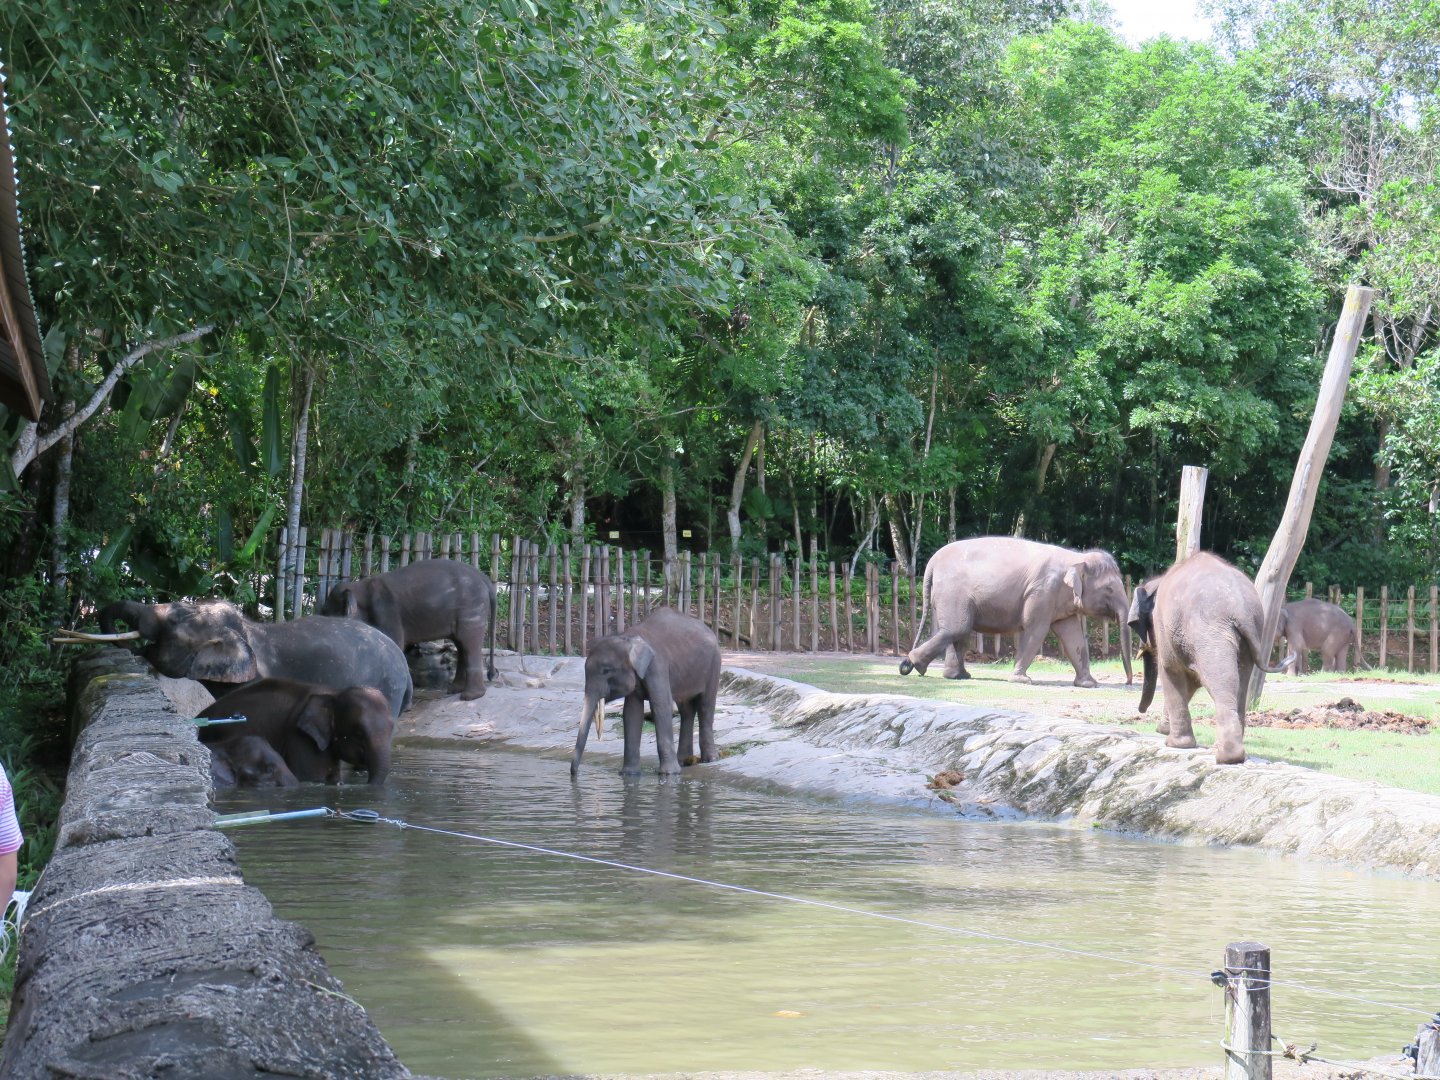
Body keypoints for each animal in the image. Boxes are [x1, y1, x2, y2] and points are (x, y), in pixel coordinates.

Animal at [319, 559, 498, 699]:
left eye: (327, 614)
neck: (359, 587)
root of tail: (485, 579)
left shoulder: (386, 611)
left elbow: (395, 644)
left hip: (472, 609)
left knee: (469, 643)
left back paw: (470, 696)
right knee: (461, 645)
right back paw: (454, 690)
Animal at [572, 606, 721, 778]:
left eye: (606, 670)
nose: (574, 774)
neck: (627, 637)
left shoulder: (657, 667)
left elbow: (661, 706)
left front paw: (669, 774)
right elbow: (632, 713)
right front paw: (629, 775)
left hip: (714, 664)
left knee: (705, 706)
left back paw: (710, 760)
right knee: (686, 710)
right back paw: (684, 761)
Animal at [899, 536, 1133, 688]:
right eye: (1109, 589)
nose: (1128, 682)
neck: (1076, 557)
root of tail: (932, 562)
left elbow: (1073, 636)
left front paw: (1088, 684)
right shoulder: (1042, 592)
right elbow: (1036, 630)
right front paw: (1021, 680)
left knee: (959, 632)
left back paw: (957, 676)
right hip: (952, 592)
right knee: (957, 628)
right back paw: (911, 665)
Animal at [1127, 552, 1294, 765]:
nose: (1141, 711)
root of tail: (1240, 608)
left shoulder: (1164, 626)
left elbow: (1171, 671)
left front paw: (1173, 743)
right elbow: (1190, 682)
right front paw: (1165, 731)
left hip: (1209, 632)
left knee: (1219, 679)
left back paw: (1227, 756)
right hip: (1246, 636)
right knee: (1238, 680)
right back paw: (1233, 754)